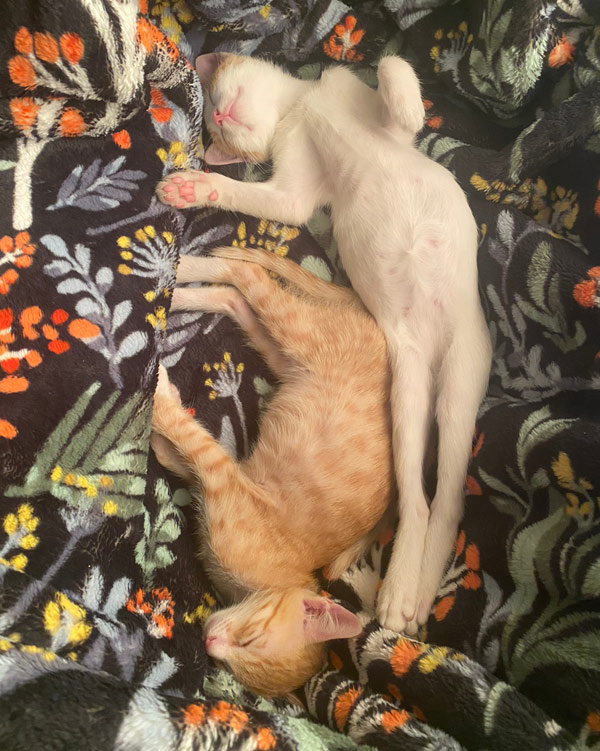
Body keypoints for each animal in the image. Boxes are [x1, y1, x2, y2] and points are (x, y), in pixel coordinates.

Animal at [152, 248, 392, 700]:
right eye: (251, 637)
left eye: (233, 665)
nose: (210, 641)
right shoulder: (222, 473)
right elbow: (189, 437)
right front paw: (158, 393)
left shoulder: (216, 475)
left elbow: (178, 451)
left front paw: (161, 404)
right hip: (295, 332)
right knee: (248, 274)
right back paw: (179, 272)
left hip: (283, 356)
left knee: (235, 298)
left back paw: (178, 293)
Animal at [156, 53, 492, 636]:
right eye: (215, 124)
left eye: (217, 104)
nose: (217, 112)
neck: (301, 105)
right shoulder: (293, 195)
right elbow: (267, 199)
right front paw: (195, 188)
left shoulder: (364, 109)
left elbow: (392, 70)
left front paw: (405, 96)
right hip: (406, 390)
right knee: (422, 500)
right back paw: (406, 593)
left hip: (461, 375)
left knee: (447, 496)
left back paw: (412, 591)